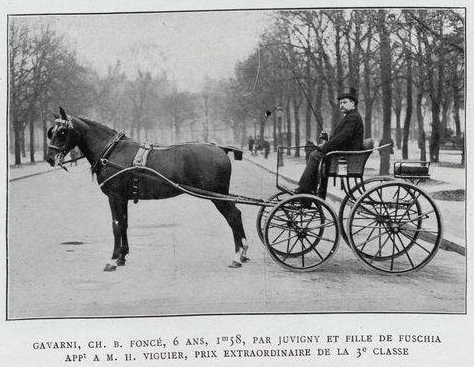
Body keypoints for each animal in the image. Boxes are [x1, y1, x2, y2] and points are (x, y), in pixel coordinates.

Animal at [46, 108, 250, 272]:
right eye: (51, 132)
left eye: (63, 131)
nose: (49, 158)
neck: (111, 151)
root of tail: (220, 149)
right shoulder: (123, 198)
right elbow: (124, 224)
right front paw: (122, 257)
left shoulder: (115, 196)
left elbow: (116, 225)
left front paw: (112, 260)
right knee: (236, 215)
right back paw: (243, 253)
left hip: (217, 196)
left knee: (233, 216)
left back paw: (237, 256)